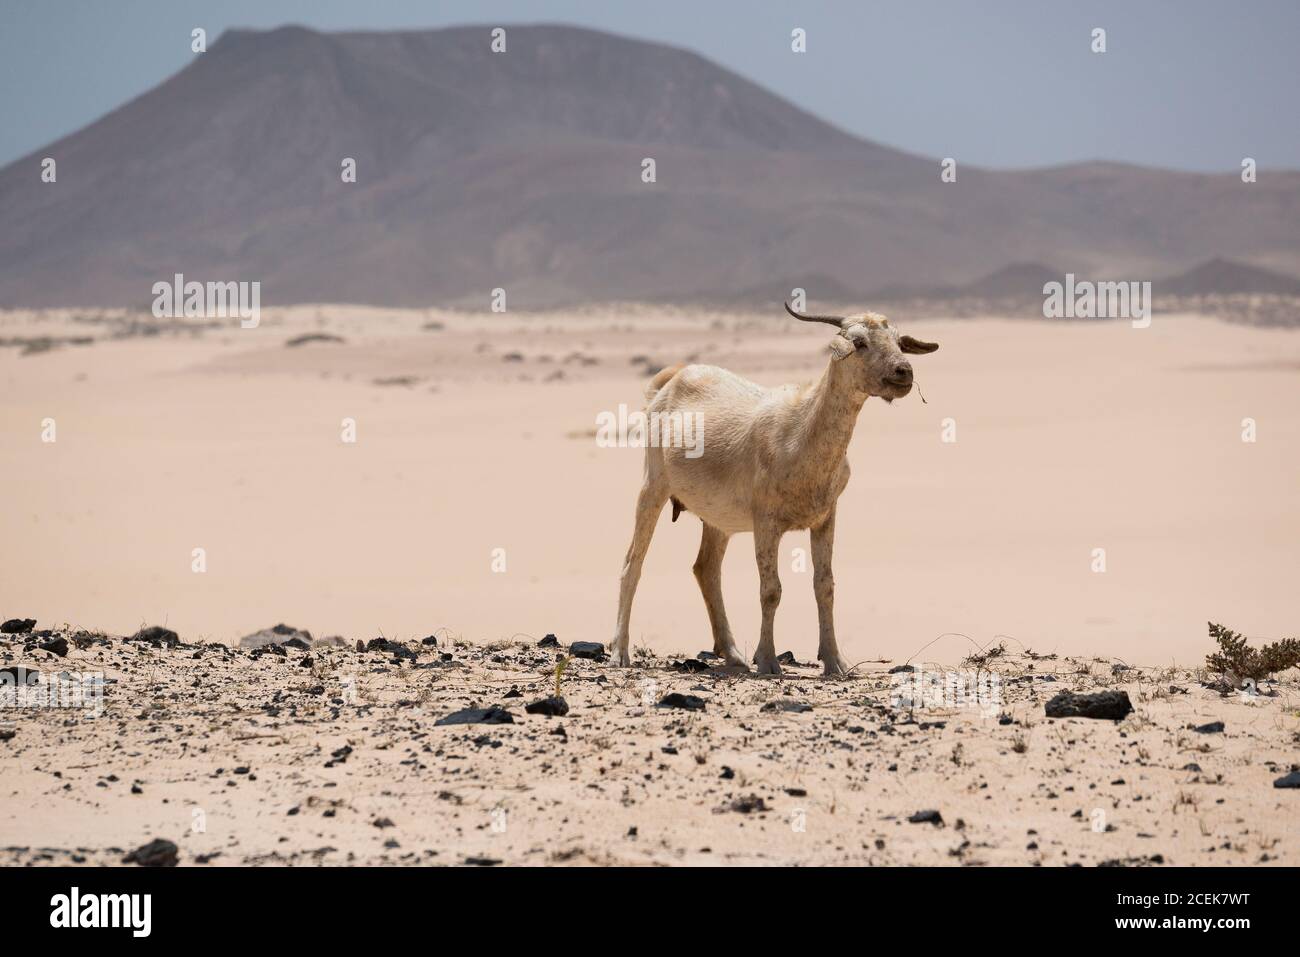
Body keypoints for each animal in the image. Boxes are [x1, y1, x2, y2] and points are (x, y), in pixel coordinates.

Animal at [610, 303, 939, 676]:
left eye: (898, 340)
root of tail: (670, 381)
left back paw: (733, 655)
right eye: (859, 342)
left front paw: (835, 662)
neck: (801, 431)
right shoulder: (766, 522)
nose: (904, 372)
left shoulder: (825, 517)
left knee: (706, 569)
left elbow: (824, 586)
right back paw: (620, 652)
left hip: (718, 518)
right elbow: (771, 590)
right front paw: (767, 660)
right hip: (653, 485)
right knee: (632, 563)